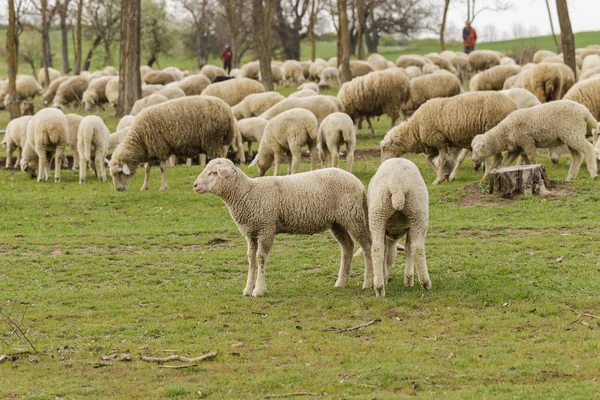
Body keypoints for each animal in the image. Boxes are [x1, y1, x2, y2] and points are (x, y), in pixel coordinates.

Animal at [195, 158, 378, 296]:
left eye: (213, 173)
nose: (195, 185)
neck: (248, 193)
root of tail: (358, 183)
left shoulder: (266, 227)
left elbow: (260, 258)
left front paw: (259, 290)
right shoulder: (250, 232)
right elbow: (250, 258)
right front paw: (248, 289)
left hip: (353, 217)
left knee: (367, 247)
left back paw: (368, 282)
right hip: (337, 222)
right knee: (348, 246)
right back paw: (341, 282)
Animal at [366, 156, 432, 294]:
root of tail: (397, 183)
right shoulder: (410, 227)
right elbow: (409, 248)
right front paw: (409, 280)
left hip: (377, 214)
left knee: (377, 249)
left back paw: (379, 288)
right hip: (418, 214)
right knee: (417, 248)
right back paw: (425, 283)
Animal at [380, 91, 516, 184]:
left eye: (384, 148)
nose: (383, 165)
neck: (415, 128)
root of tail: (512, 105)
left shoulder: (438, 141)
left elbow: (441, 160)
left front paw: (438, 179)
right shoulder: (436, 144)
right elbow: (429, 160)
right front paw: (441, 177)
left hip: (494, 132)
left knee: (497, 157)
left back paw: (486, 176)